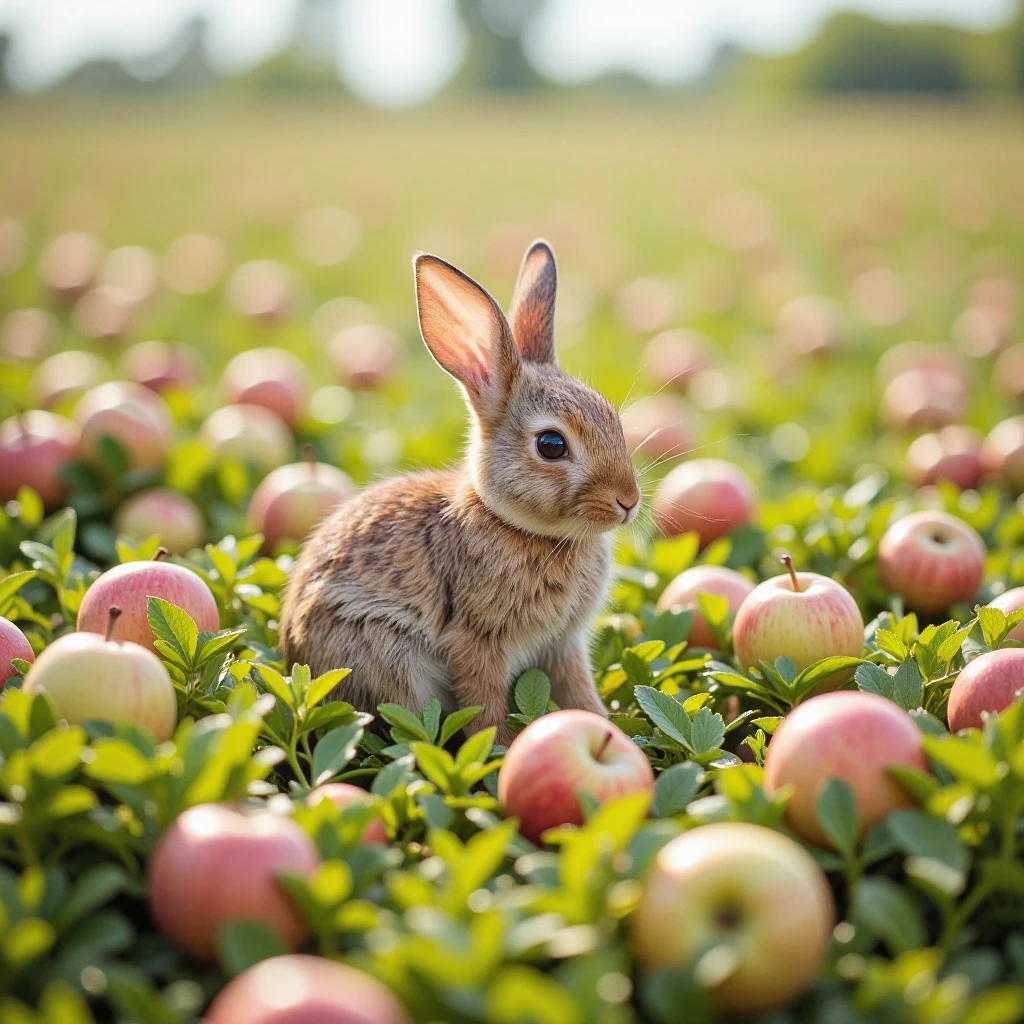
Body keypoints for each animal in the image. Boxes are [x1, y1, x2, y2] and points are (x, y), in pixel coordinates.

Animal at [279, 241, 641, 746]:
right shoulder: (476, 639)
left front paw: (606, 727)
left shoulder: (563, 645)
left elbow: (579, 693)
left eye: (613, 418)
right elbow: (484, 706)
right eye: (551, 445)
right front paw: (499, 751)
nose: (628, 501)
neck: (516, 526)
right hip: (391, 658)